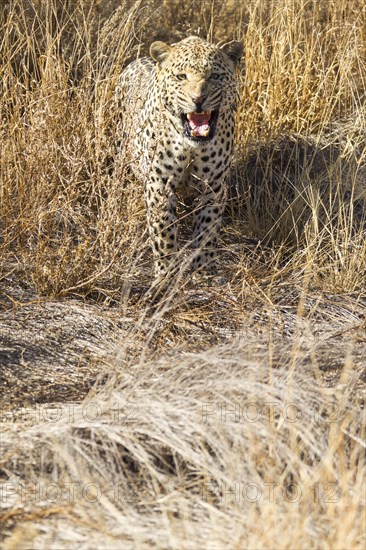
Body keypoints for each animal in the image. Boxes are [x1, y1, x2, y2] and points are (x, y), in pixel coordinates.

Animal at [116, 34, 243, 280]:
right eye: (181, 76)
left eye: (214, 76)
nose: (198, 99)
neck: (192, 147)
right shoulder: (159, 184)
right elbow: (164, 230)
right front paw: (166, 271)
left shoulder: (213, 185)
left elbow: (207, 228)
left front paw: (203, 268)